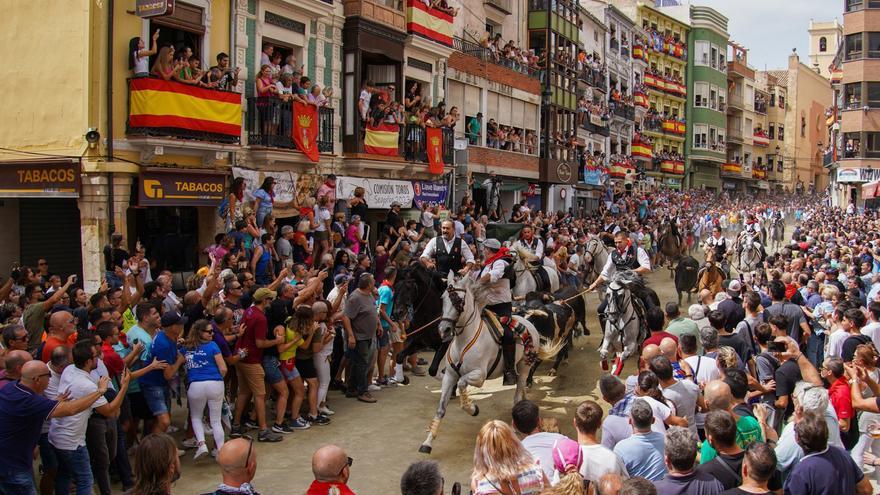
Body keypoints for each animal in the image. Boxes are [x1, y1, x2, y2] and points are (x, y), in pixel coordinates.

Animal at [422, 274, 564, 456]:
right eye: (443, 298)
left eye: (459, 301)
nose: (444, 329)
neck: (464, 341)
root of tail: (528, 322)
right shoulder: (450, 375)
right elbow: (441, 409)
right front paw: (427, 443)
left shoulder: (479, 375)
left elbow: (461, 383)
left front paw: (472, 408)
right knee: (520, 386)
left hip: (524, 365)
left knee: (518, 390)